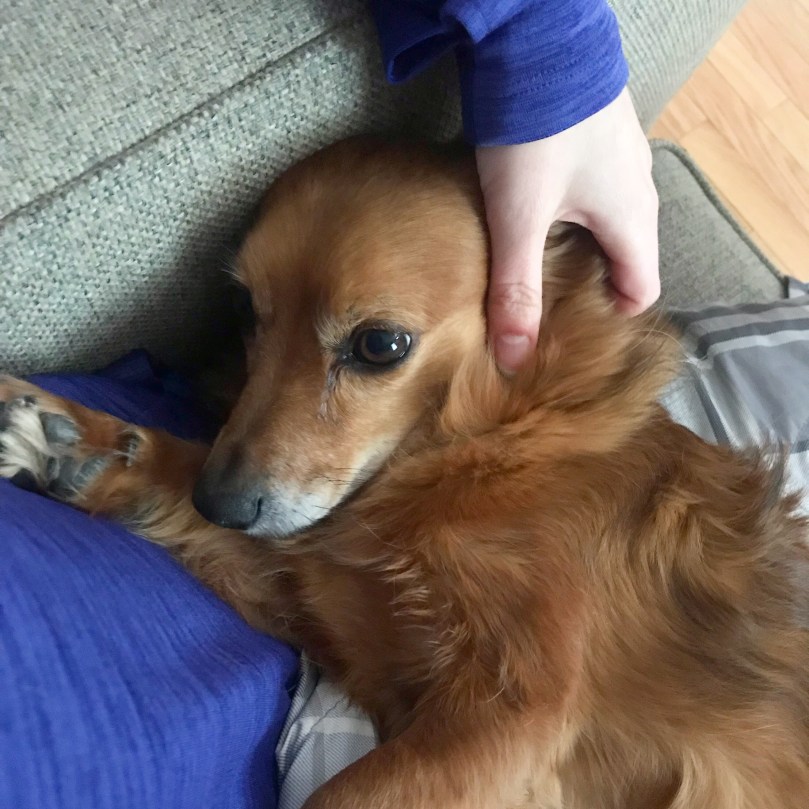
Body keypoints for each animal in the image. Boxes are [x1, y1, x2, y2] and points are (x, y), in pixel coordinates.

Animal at [2, 138, 809, 808]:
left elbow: (341, 797)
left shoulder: (514, 712)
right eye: (246, 308)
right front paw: (84, 444)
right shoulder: (335, 606)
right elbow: (187, 470)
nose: (220, 504)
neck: (486, 443)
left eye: (379, 345)